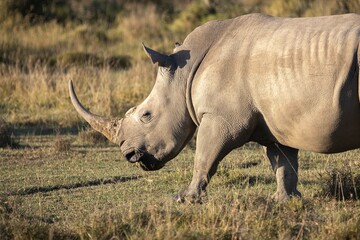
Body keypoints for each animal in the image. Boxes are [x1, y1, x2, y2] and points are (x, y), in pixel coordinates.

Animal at [68, 12, 360, 201]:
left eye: (146, 115)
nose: (128, 154)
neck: (183, 76)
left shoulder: (222, 118)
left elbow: (205, 155)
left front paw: (184, 199)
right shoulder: (278, 119)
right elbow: (283, 163)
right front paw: (285, 200)